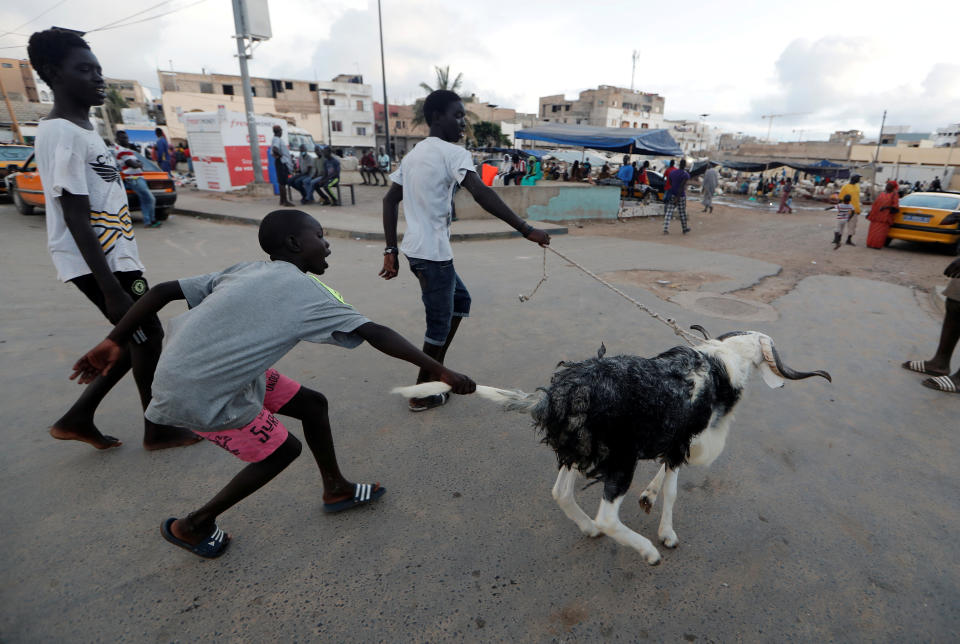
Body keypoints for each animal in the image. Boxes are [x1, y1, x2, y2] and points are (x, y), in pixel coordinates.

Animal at [394, 330, 828, 568]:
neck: (719, 367)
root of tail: (554, 397)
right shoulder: (680, 444)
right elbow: (673, 490)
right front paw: (666, 535)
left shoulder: (670, 443)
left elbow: (663, 481)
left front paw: (648, 499)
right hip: (619, 461)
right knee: (606, 516)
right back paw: (646, 552)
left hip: (579, 452)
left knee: (561, 493)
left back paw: (587, 528)